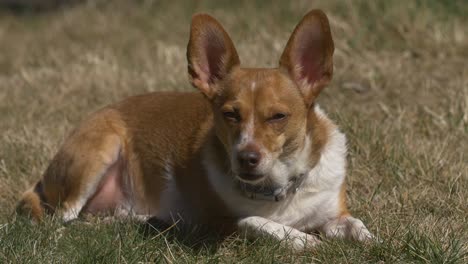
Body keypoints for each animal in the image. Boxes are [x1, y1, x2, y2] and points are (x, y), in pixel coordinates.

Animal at [18, 9, 372, 250]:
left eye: (278, 116)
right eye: (230, 114)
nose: (247, 158)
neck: (277, 190)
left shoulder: (334, 213)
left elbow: (355, 224)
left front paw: (367, 240)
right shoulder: (217, 225)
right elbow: (256, 221)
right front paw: (300, 239)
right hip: (99, 150)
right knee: (61, 219)